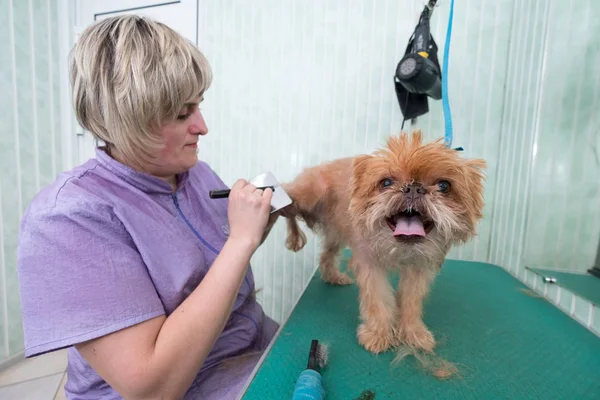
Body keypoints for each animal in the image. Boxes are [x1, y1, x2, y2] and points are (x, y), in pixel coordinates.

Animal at [284, 131, 486, 354]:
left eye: (443, 186)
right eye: (386, 183)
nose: (414, 188)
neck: (398, 250)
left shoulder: (419, 269)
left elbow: (411, 300)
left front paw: (413, 332)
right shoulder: (371, 265)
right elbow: (377, 299)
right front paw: (378, 333)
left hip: (337, 231)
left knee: (327, 254)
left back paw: (333, 276)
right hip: (310, 192)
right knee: (290, 198)